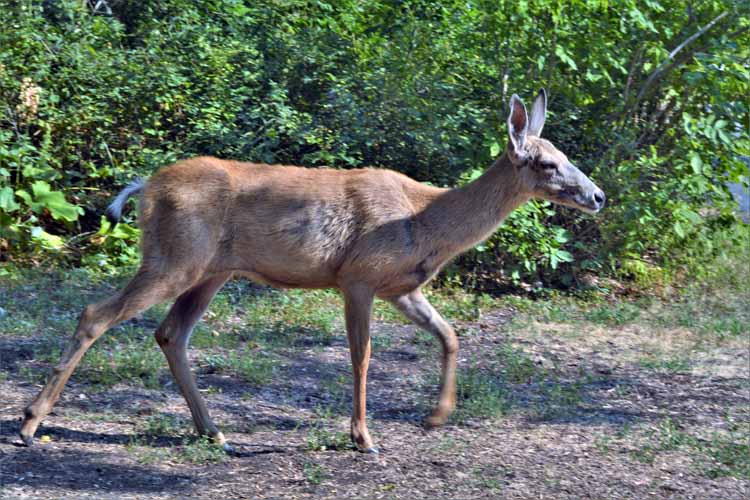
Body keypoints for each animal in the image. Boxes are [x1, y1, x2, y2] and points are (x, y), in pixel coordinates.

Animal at [19, 89, 604, 454]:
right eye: (547, 163)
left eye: (564, 153)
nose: (597, 195)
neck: (424, 218)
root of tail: (146, 186)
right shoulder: (358, 277)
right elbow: (362, 356)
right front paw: (363, 438)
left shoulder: (401, 287)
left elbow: (451, 335)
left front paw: (436, 416)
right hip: (174, 256)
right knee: (96, 314)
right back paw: (29, 423)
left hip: (211, 271)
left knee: (170, 333)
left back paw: (213, 431)